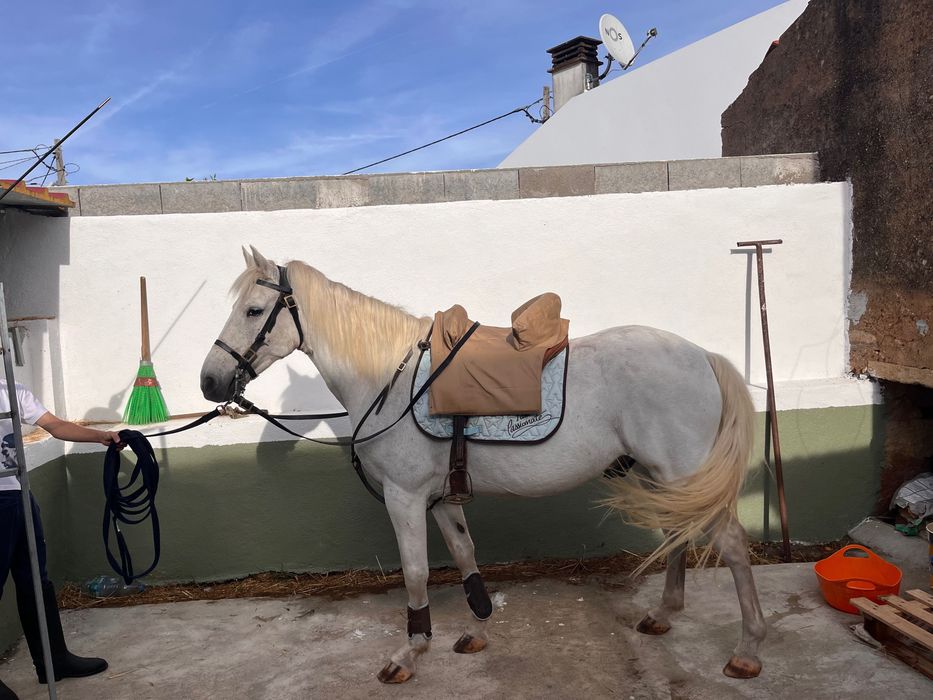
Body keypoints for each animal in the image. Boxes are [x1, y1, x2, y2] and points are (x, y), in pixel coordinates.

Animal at [199, 247, 766, 683]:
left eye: (253, 311)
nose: (210, 382)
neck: (390, 378)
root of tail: (702, 356)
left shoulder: (404, 496)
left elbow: (416, 572)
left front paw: (409, 654)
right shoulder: (440, 498)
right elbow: (465, 556)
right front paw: (475, 630)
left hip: (681, 474)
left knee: (731, 545)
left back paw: (747, 651)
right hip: (662, 478)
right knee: (678, 534)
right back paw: (663, 617)